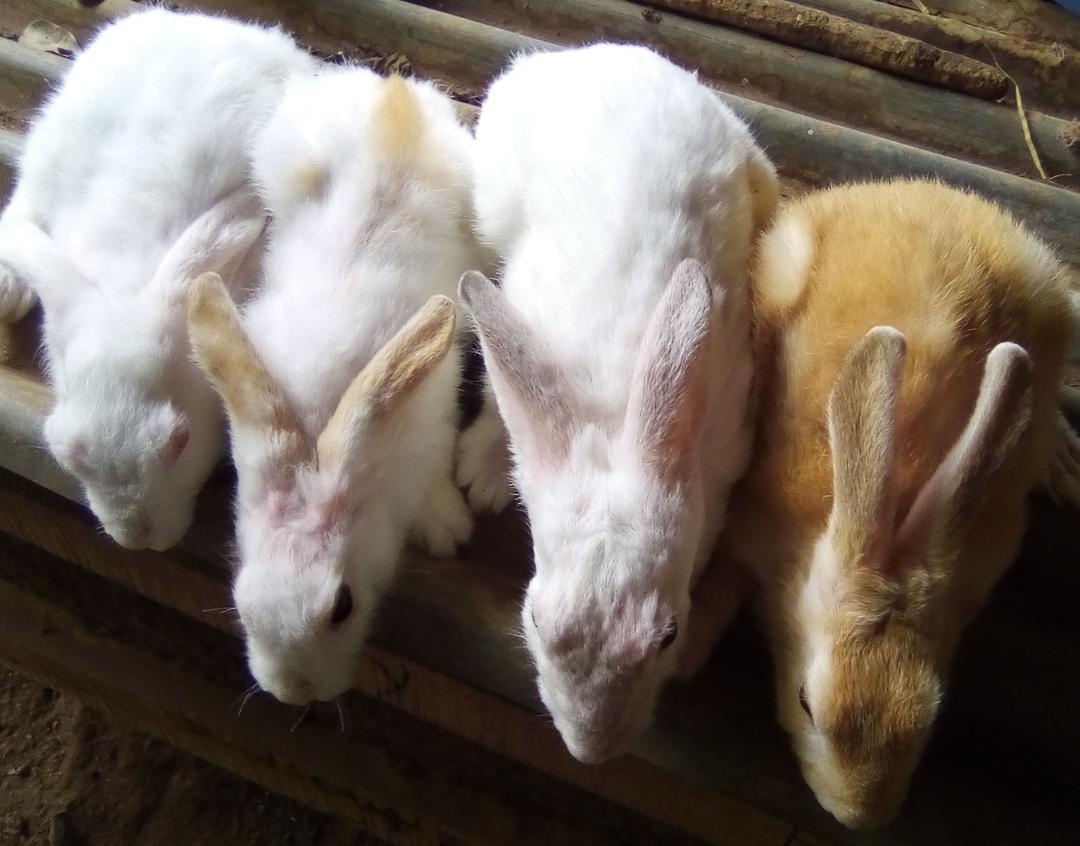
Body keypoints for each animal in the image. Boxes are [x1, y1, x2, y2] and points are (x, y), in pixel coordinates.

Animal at [187, 68, 480, 706]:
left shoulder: (434, 409)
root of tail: (394, 95)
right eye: (243, 604)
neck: (319, 425)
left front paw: (446, 528)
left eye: (342, 606)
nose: (293, 693)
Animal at [457, 43, 778, 763]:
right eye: (534, 619)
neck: (611, 413)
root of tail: (598, 53)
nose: (591, 753)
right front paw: (481, 478)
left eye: (668, 634)